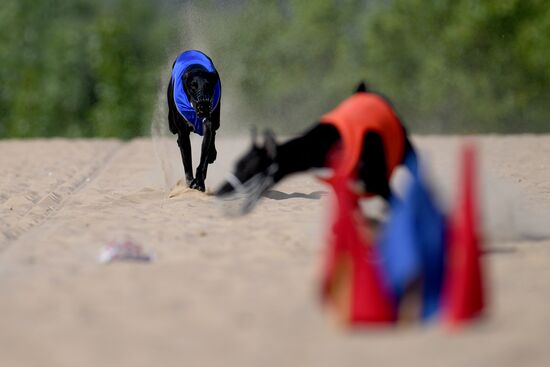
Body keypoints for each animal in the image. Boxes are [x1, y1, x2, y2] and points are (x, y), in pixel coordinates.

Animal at [168, 49, 222, 193]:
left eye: (208, 85)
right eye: (193, 86)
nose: (203, 106)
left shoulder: (208, 125)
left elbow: (204, 158)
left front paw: (199, 182)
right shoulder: (183, 132)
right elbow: (187, 160)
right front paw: (190, 182)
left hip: (216, 120)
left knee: (215, 133)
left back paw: (213, 154)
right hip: (172, 124)